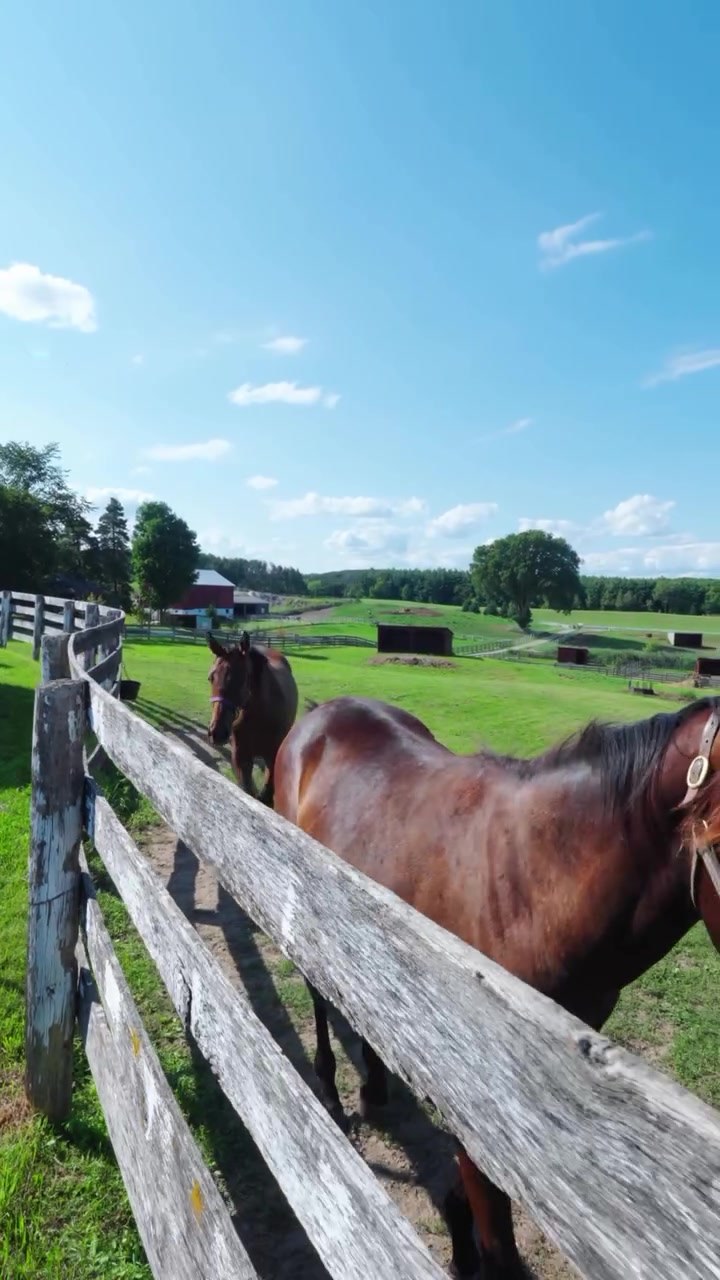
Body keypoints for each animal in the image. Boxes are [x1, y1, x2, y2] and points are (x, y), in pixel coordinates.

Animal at [206, 630, 298, 805]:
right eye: (211, 677)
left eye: (242, 678)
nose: (217, 732)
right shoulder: (241, 759)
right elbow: (248, 792)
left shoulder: (273, 758)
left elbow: (266, 797)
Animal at [273, 693, 720, 1278]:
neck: (537, 881)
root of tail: (322, 711)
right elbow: (494, 1229)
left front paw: (459, 1237)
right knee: (319, 991)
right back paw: (327, 1087)